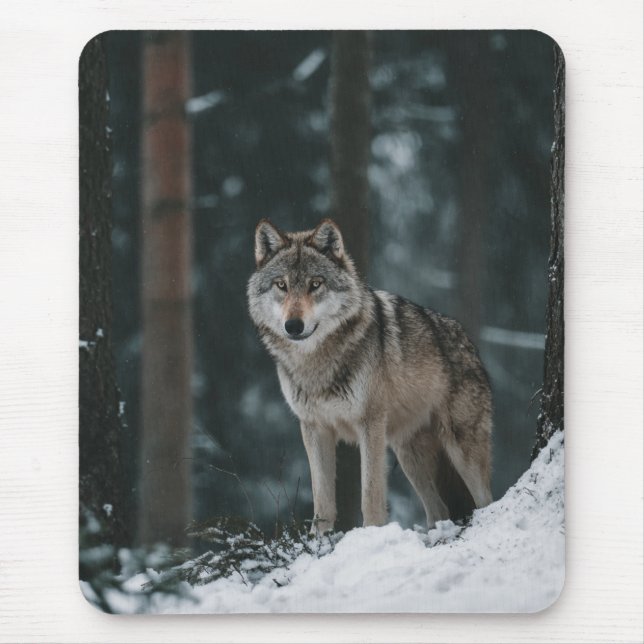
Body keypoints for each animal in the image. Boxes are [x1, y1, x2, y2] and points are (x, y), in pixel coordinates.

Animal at [247, 218, 493, 533]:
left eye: (316, 284)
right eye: (282, 285)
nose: (293, 325)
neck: (317, 364)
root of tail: (470, 344)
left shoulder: (370, 424)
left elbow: (371, 496)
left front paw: (371, 534)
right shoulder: (314, 428)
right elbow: (322, 502)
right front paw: (318, 540)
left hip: (462, 450)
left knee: (486, 500)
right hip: (410, 455)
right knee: (438, 510)